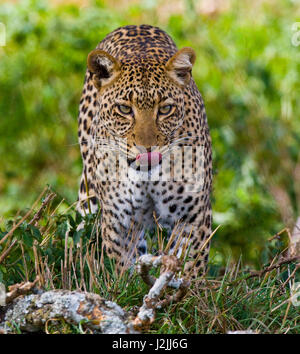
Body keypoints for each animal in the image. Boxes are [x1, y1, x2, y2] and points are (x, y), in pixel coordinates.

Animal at [77, 24, 213, 280]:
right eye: (124, 109)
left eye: (166, 109)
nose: (147, 148)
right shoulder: (119, 222)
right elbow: (122, 268)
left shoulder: (193, 218)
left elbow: (189, 267)